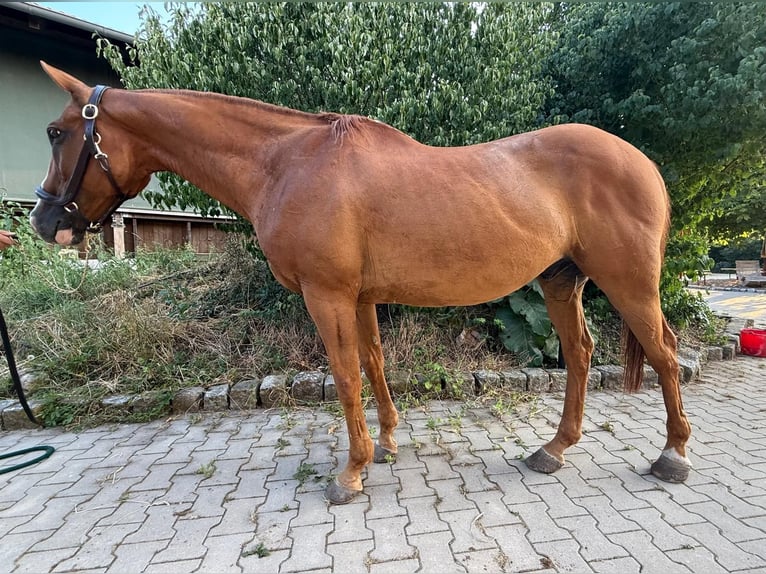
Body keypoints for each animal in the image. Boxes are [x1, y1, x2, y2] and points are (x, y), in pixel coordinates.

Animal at [30, 62, 691, 504]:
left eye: (58, 132)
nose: (43, 220)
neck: (286, 163)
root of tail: (642, 162)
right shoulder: (362, 297)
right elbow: (373, 364)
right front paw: (388, 444)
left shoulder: (327, 297)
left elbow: (346, 377)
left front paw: (351, 472)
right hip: (562, 282)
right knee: (579, 355)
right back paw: (554, 450)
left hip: (629, 283)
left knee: (664, 353)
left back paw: (673, 455)